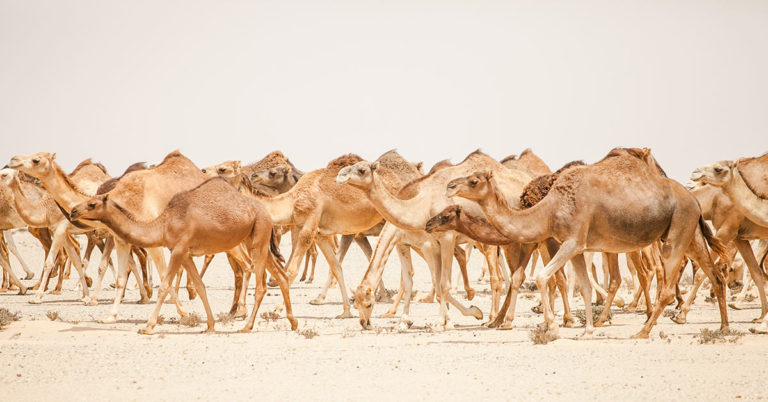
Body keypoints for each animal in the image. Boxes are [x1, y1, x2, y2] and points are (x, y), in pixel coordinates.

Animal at [70, 177, 296, 334]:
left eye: (92, 204)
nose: (72, 211)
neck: (163, 224)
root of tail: (265, 211)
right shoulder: (185, 253)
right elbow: (200, 287)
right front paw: (210, 326)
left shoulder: (178, 249)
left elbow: (163, 287)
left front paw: (148, 327)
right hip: (255, 238)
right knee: (281, 275)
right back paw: (293, 322)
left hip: (259, 236)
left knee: (261, 286)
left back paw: (247, 326)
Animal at [336, 150, 533, 329]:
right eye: (356, 303)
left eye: (361, 170)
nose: (364, 323)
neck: (417, 207)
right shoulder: (405, 244)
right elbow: (411, 281)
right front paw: (404, 321)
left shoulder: (436, 241)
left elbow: (441, 284)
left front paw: (448, 321)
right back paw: (498, 317)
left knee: (496, 278)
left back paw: (492, 318)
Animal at [446, 148, 729, 338]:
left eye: (473, 180)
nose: (450, 186)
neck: (548, 208)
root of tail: (693, 198)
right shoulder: (575, 247)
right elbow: (581, 286)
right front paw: (587, 330)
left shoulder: (570, 242)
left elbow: (542, 277)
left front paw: (551, 325)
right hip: (689, 231)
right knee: (713, 274)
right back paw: (723, 326)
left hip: (675, 234)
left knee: (665, 280)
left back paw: (645, 328)